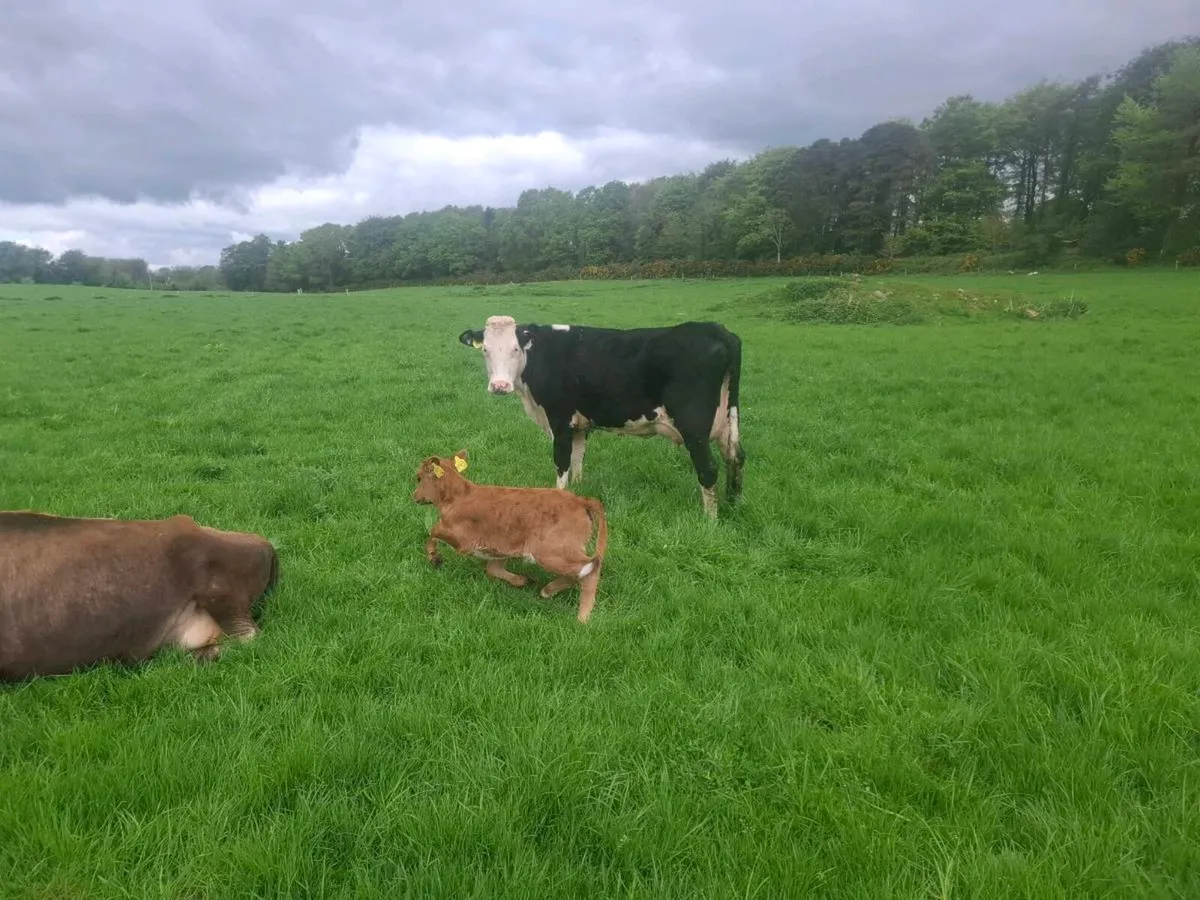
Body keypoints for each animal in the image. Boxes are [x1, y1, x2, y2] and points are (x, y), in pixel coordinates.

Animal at [412, 449, 608, 623]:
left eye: (419, 477)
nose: (413, 496)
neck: (456, 496)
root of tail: (580, 500)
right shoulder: (499, 549)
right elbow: (493, 570)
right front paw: (523, 580)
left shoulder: (462, 539)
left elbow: (433, 531)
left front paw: (434, 558)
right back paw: (548, 590)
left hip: (552, 551)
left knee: (590, 569)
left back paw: (582, 617)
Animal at [457, 316, 745, 519]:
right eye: (486, 350)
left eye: (515, 349)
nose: (499, 386)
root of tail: (715, 329)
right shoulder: (579, 425)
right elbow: (578, 460)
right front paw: (578, 491)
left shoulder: (560, 421)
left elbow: (562, 463)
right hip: (728, 418)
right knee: (736, 457)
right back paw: (734, 506)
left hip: (694, 426)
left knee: (709, 469)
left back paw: (710, 520)